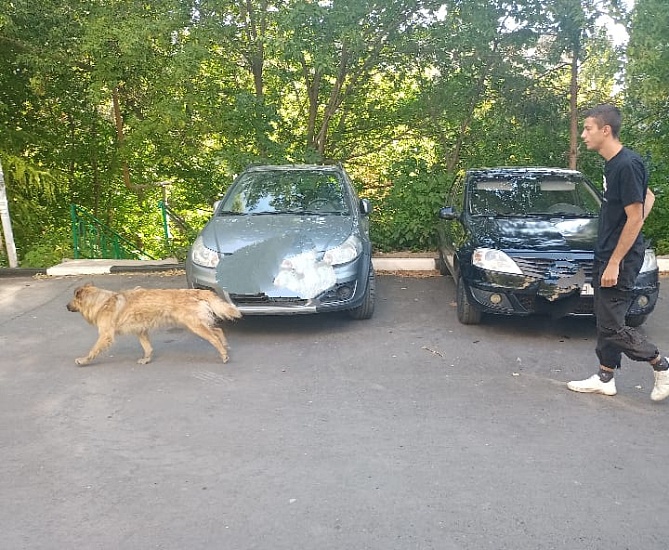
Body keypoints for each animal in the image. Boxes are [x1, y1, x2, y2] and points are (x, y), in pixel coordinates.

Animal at [65, 284, 241, 366]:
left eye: (73, 299)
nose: (65, 306)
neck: (101, 302)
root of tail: (195, 291)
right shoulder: (141, 331)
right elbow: (147, 347)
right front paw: (146, 359)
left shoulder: (105, 335)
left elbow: (93, 350)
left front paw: (84, 360)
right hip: (198, 323)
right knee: (218, 330)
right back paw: (226, 346)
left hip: (195, 325)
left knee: (214, 337)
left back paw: (223, 354)